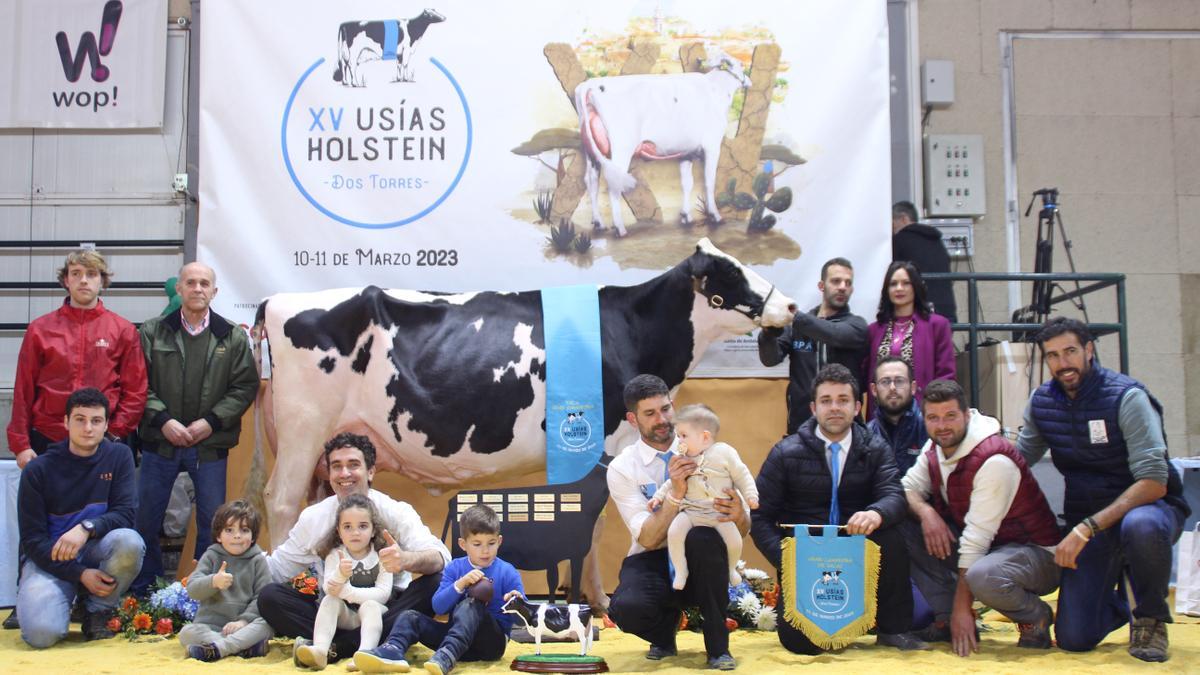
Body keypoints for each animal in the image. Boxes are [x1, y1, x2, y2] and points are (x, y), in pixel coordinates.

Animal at [254, 239, 796, 595]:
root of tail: (276, 300)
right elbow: (595, 523)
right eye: (730, 274)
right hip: (304, 428)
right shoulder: (606, 443)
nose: (791, 305)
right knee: (281, 502)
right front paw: (594, 602)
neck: (628, 324)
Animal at [573, 46, 748, 236]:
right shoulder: (712, 146)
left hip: (591, 151)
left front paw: (686, 216)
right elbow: (709, 181)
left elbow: (687, 183)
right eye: (741, 64)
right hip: (621, 149)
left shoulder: (686, 152)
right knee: (613, 184)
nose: (748, 81)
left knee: (592, 181)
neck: (716, 89)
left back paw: (599, 223)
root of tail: (590, 84)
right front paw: (715, 216)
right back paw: (620, 228)